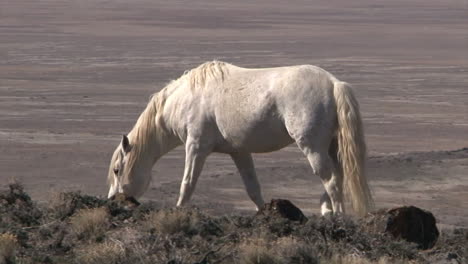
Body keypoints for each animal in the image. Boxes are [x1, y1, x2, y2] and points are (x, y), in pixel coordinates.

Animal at [106, 61, 372, 217]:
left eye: (118, 170)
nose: (112, 201)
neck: (183, 99)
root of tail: (334, 84)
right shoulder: (239, 152)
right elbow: (252, 188)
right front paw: (263, 215)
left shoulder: (196, 147)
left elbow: (187, 183)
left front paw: (178, 210)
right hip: (330, 148)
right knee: (336, 177)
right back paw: (326, 212)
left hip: (312, 148)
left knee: (331, 181)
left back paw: (337, 218)